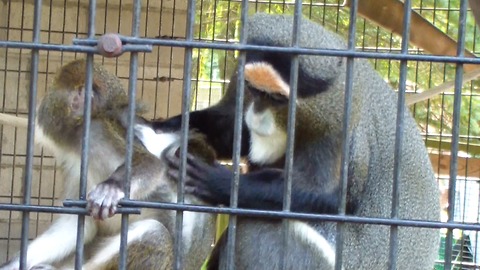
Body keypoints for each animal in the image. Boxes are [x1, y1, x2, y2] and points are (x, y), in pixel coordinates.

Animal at [137, 13, 440, 270]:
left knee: (257, 225)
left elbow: (323, 192)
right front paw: (158, 126)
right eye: (253, 89)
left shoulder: (338, 119)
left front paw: (218, 182)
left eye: (277, 98)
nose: (257, 114)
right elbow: (234, 130)